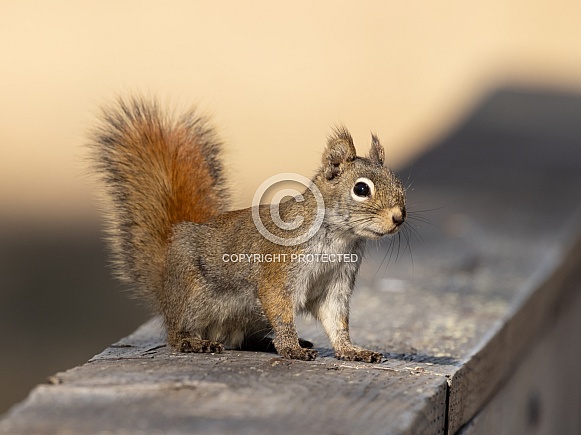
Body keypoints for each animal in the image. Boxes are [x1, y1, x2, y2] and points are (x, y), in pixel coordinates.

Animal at [90, 97, 406, 362]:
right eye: (361, 189)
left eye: (398, 183)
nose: (399, 217)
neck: (338, 237)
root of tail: (165, 280)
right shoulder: (280, 271)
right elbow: (281, 310)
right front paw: (291, 348)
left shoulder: (336, 282)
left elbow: (336, 320)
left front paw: (352, 351)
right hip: (192, 296)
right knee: (176, 334)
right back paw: (196, 343)